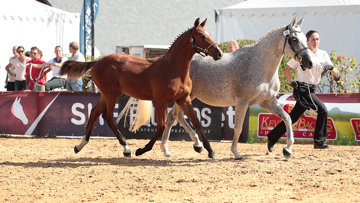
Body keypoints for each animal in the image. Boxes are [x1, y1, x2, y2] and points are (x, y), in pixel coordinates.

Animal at [160, 17, 312, 160]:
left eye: (305, 38)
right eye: (294, 39)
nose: (309, 62)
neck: (257, 65)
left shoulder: (267, 102)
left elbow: (287, 118)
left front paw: (288, 150)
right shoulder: (242, 102)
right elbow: (238, 128)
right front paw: (236, 153)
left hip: (188, 96)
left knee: (172, 117)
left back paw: (168, 149)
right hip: (185, 96)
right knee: (177, 116)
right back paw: (196, 145)